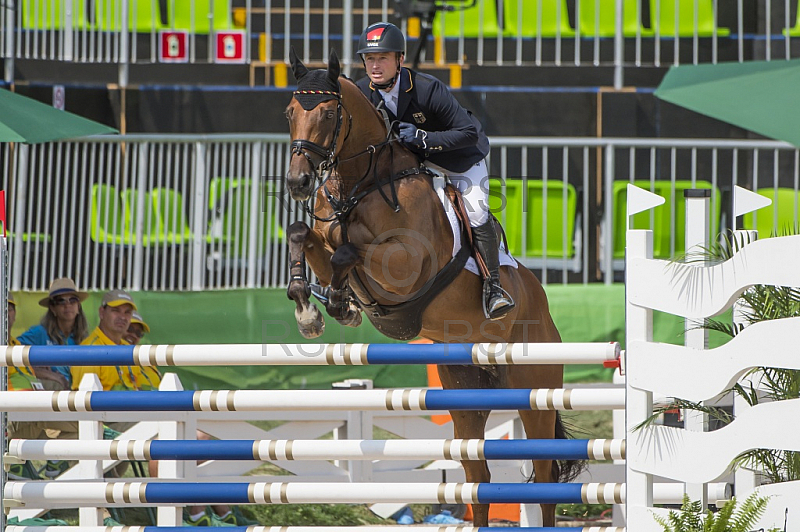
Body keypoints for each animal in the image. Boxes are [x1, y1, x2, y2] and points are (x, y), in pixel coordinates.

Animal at [284, 50, 580, 528]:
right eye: (290, 112)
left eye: (328, 114)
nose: (297, 183)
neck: (362, 184)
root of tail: (543, 306)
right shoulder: (324, 238)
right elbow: (303, 235)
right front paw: (310, 308)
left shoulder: (404, 264)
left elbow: (348, 253)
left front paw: (340, 304)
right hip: (466, 395)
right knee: (478, 479)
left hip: (535, 394)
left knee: (546, 478)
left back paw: (498, 299)